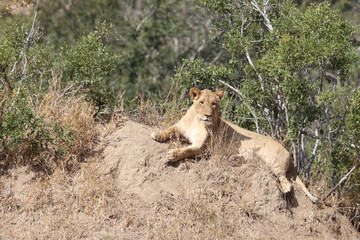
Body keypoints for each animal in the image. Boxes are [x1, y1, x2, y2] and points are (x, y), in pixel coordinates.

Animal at [150, 87, 320, 203]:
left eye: (214, 104)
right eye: (201, 102)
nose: (208, 115)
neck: (196, 121)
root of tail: (290, 155)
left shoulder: (203, 147)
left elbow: (186, 150)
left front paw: (173, 154)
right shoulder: (179, 127)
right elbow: (168, 130)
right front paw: (157, 135)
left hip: (273, 162)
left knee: (286, 181)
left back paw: (284, 189)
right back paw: (234, 159)